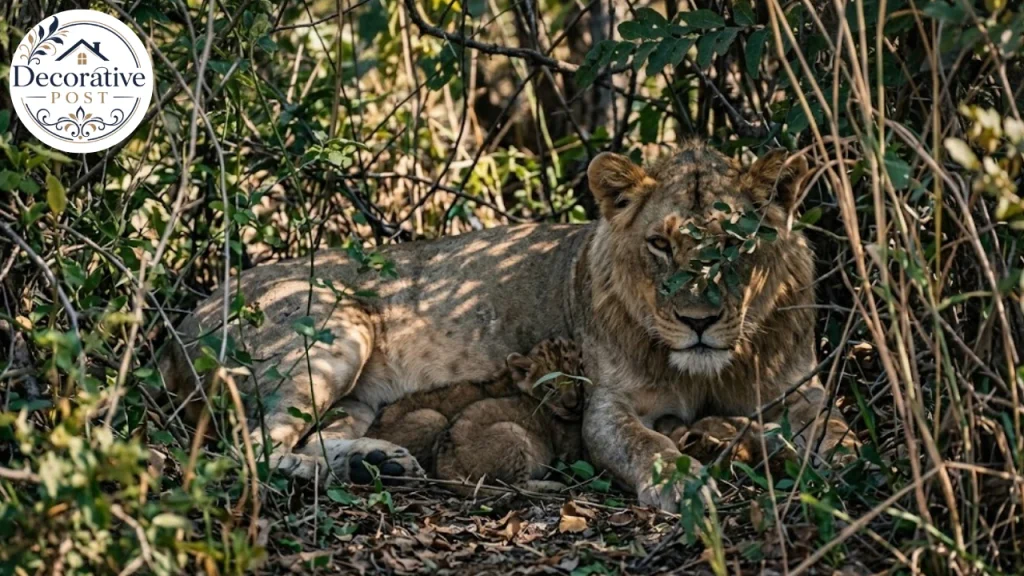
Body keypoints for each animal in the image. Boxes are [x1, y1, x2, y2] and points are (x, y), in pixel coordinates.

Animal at [159, 141, 858, 510]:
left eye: (734, 244)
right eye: (660, 244)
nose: (700, 321)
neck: (707, 368)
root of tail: (179, 324)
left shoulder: (801, 390)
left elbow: (840, 435)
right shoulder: (605, 407)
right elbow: (648, 447)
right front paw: (686, 487)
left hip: (353, 393)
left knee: (306, 439)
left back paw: (376, 465)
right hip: (334, 328)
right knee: (249, 447)